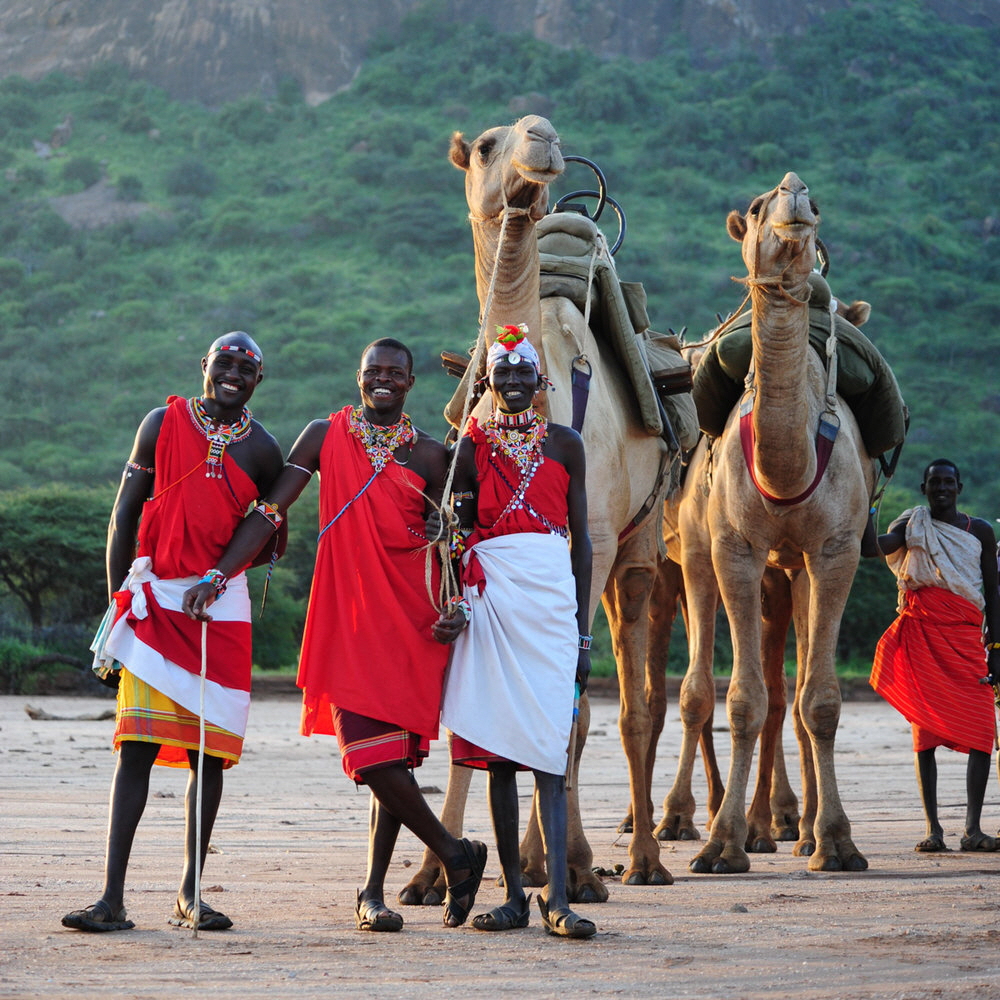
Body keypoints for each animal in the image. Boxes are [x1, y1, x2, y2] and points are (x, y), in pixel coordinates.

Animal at [398, 113, 672, 904]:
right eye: (486, 146)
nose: (539, 138)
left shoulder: (595, 540)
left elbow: (572, 706)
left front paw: (574, 867)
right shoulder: (462, 538)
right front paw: (432, 874)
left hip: (637, 550)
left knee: (631, 703)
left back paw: (636, 859)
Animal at [672, 174, 876, 876]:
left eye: (814, 207)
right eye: (759, 207)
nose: (793, 193)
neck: (787, 467)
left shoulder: (835, 550)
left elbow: (821, 701)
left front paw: (835, 841)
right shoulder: (736, 550)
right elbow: (742, 701)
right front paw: (723, 844)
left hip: (796, 571)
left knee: (795, 689)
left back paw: (799, 826)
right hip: (699, 555)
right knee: (703, 688)